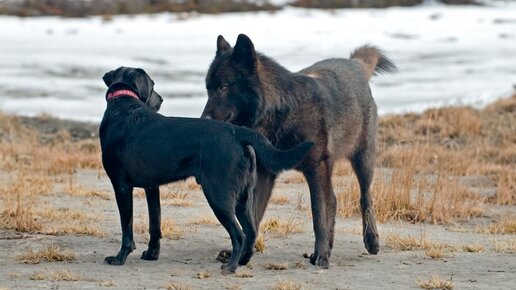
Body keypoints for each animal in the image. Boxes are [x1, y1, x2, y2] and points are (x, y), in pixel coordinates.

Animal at [99, 65, 312, 274]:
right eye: (153, 86)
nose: (161, 99)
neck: (123, 102)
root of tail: (237, 131)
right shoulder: (152, 188)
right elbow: (155, 224)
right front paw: (151, 254)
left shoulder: (121, 186)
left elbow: (127, 226)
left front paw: (119, 258)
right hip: (243, 196)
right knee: (251, 232)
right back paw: (242, 261)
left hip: (218, 195)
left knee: (239, 234)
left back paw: (230, 267)